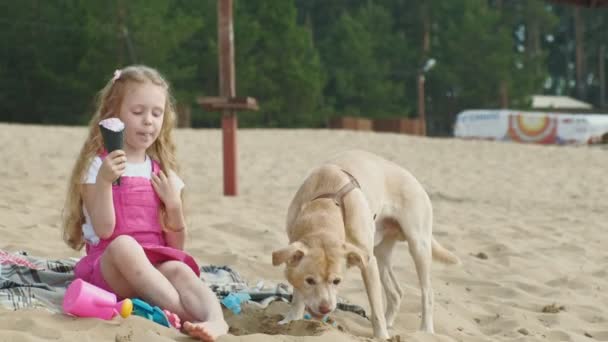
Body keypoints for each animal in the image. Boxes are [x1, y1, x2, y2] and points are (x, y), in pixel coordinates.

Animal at [274, 150, 458, 340]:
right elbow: (298, 296)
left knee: (427, 293)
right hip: (381, 254)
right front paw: (291, 321)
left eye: (337, 281)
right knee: (396, 292)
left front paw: (381, 336)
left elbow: (376, 308)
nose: (326, 308)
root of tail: (414, 180)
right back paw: (390, 323)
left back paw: (425, 330)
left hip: (417, 245)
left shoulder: (367, 263)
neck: (325, 202)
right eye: (309, 281)